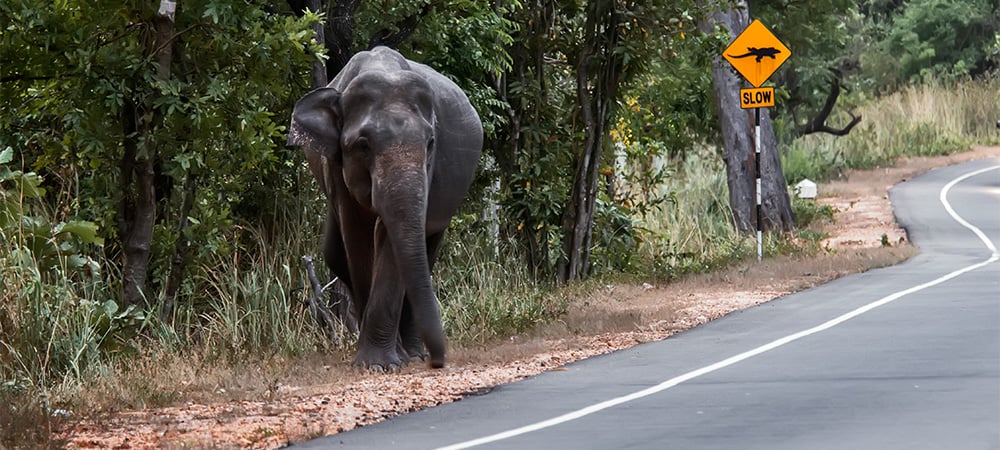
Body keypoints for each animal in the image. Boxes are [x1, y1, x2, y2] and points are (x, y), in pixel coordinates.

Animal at [288, 45, 482, 370]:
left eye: (431, 142)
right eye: (363, 145)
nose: (438, 361)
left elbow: (390, 240)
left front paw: (383, 362)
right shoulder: (336, 165)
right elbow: (358, 235)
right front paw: (375, 363)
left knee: (427, 249)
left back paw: (412, 353)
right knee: (334, 253)